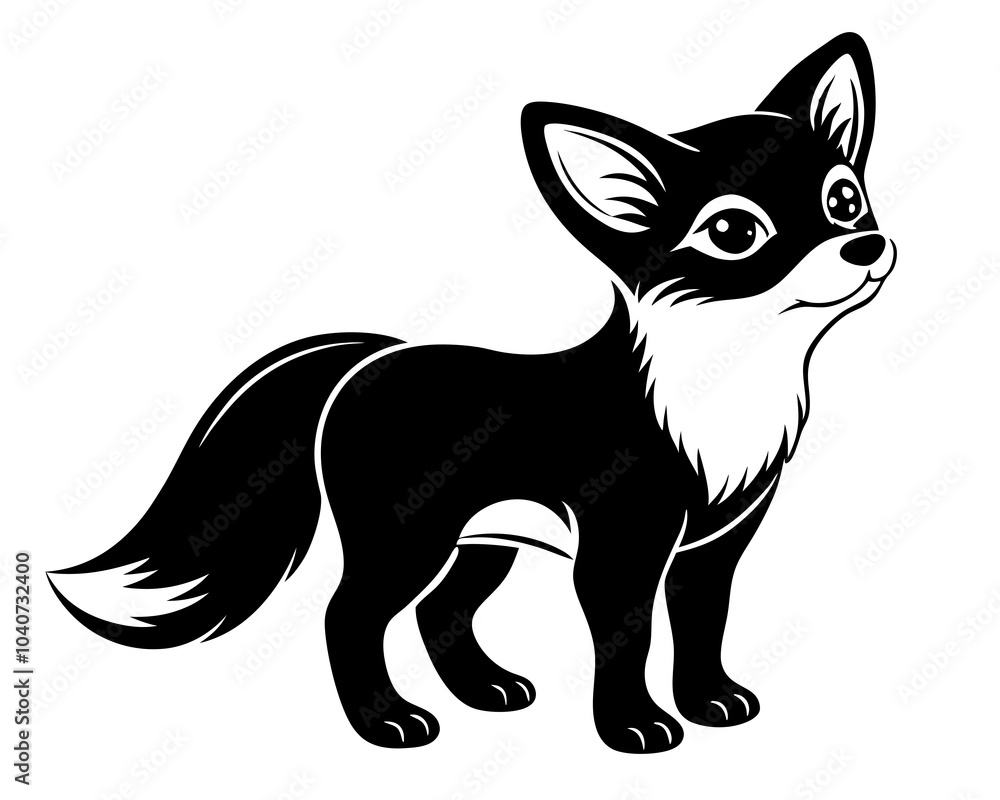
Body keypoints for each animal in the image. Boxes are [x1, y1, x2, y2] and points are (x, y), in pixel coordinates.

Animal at [50, 32, 895, 753]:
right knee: (349, 616)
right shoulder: (620, 548)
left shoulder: (715, 545)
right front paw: (633, 727)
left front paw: (711, 701)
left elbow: (701, 625)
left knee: (441, 611)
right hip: (407, 538)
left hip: (479, 538)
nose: (866, 246)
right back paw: (387, 722)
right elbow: (628, 639)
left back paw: (485, 690)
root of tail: (369, 360)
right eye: (733, 234)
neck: (721, 384)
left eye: (845, 200)